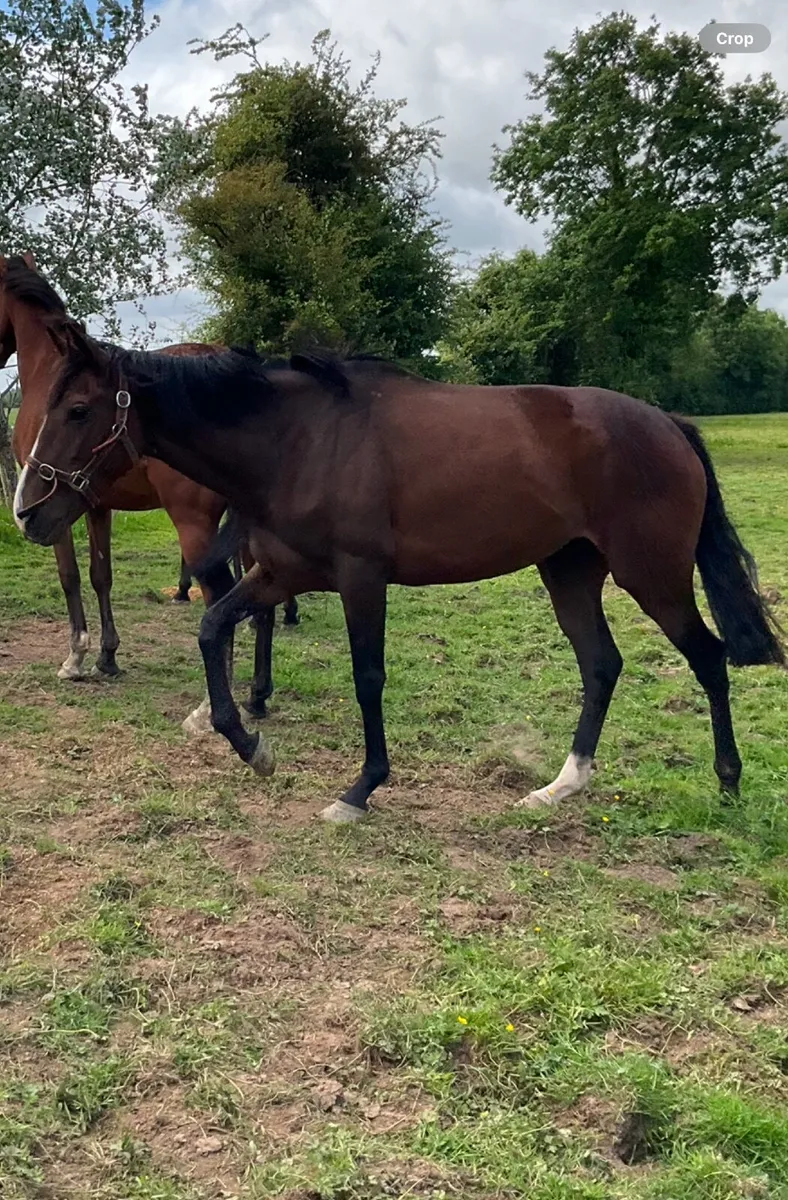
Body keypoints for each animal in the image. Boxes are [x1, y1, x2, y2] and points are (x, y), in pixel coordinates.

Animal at [0, 254, 297, 726]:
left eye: (77, 411)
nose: (22, 512)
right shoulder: (94, 505)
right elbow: (101, 575)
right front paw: (107, 657)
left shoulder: (59, 511)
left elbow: (69, 577)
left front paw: (76, 657)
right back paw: (257, 696)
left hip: (196, 524)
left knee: (219, 595)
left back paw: (211, 706)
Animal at [15, 318, 784, 824]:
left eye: (79, 409)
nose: (26, 511)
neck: (297, 440)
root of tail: (667, 423)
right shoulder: (282, 575)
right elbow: (211, 627)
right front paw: (252, 746)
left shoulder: (360, 580)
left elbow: (367, 677)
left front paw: (360, 789)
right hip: (569, 573)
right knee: (602, 666)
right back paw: (562, 787)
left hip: (650, 575)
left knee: (709, 658)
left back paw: (727, 785)